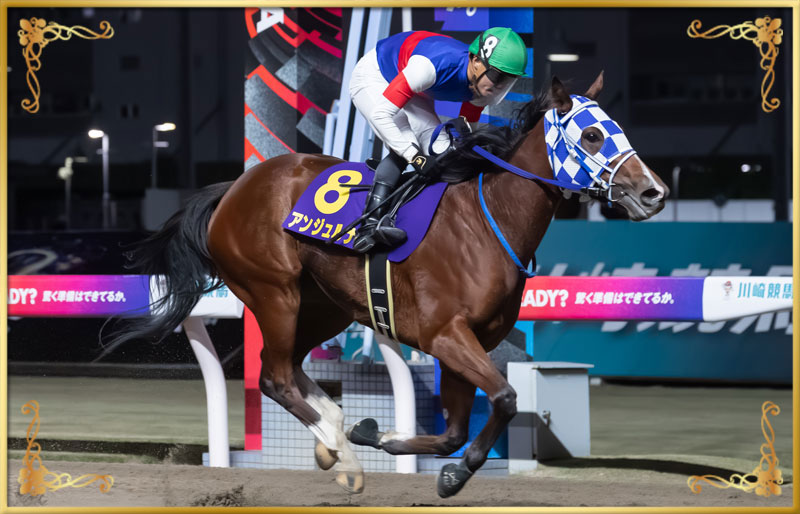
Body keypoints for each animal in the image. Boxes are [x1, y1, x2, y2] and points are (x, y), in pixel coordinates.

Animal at [114, 73, 668, 498]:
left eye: (617, 129)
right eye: (592, 135)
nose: (654, 192)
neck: (487, 223)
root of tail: (234, 188)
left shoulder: (467, 343)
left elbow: (452, 431)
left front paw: (390, 441)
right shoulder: (445, 335)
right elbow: (507, 398)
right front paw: (444, 471)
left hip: (324, 306)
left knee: (292, 367)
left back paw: (336, 434)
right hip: (274, 292)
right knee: (275, 378)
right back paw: (343, 458)